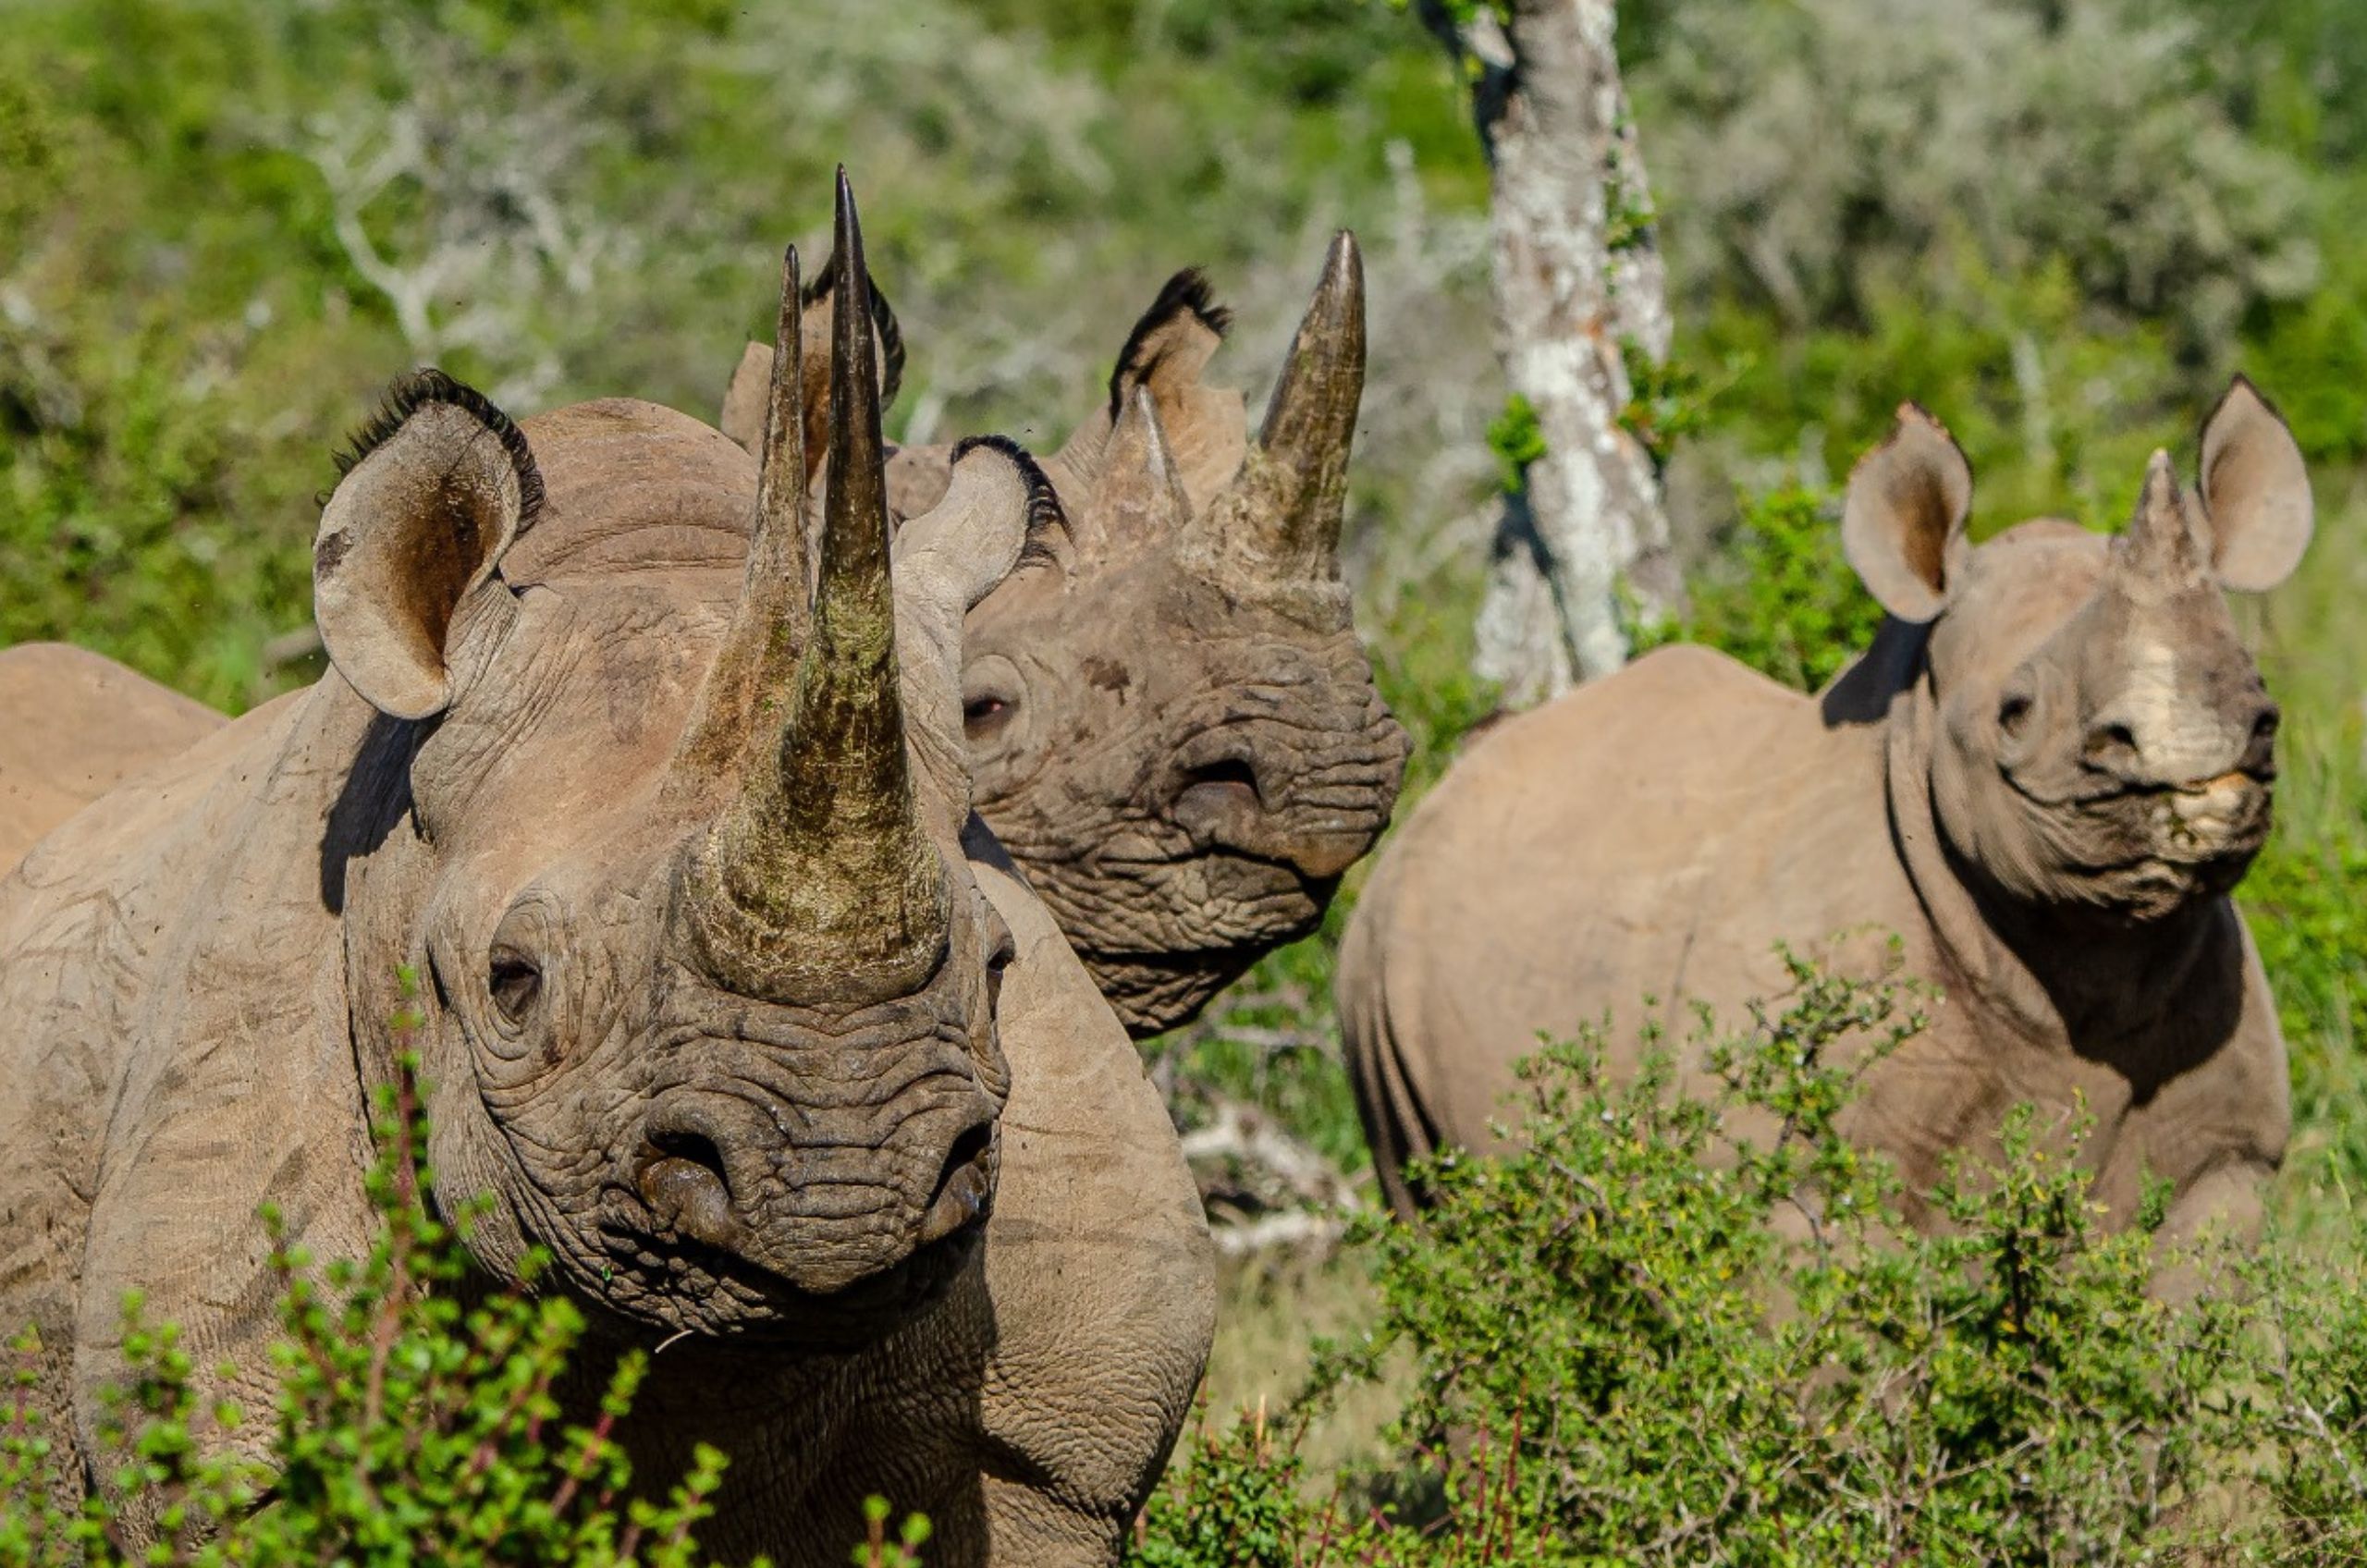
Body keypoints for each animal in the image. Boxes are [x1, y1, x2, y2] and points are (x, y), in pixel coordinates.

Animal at [1340, 383, 2311, 1244]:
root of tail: (1439, 796)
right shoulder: (1798, 1174)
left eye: (2264, 706)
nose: (2196, 755)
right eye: (2015, 713)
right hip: (1376, 967)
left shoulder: (2229, 1163)